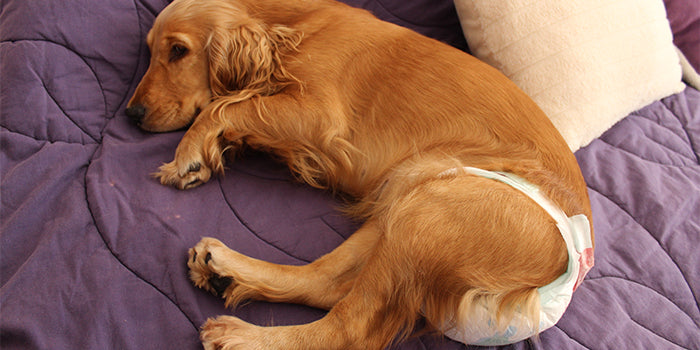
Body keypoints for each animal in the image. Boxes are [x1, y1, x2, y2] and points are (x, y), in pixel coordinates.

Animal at [127, 0, 596, 348]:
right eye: (150, 50)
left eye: (178, 50)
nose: (131, 114)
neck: (294, 24)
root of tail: (571, 269)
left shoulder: (319, 116)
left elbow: (225, 106)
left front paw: (189, 154)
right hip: (408, 197)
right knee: (323, 282)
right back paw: (224, 266)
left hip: (432, 213)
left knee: (347, 329)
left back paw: (242, 337)